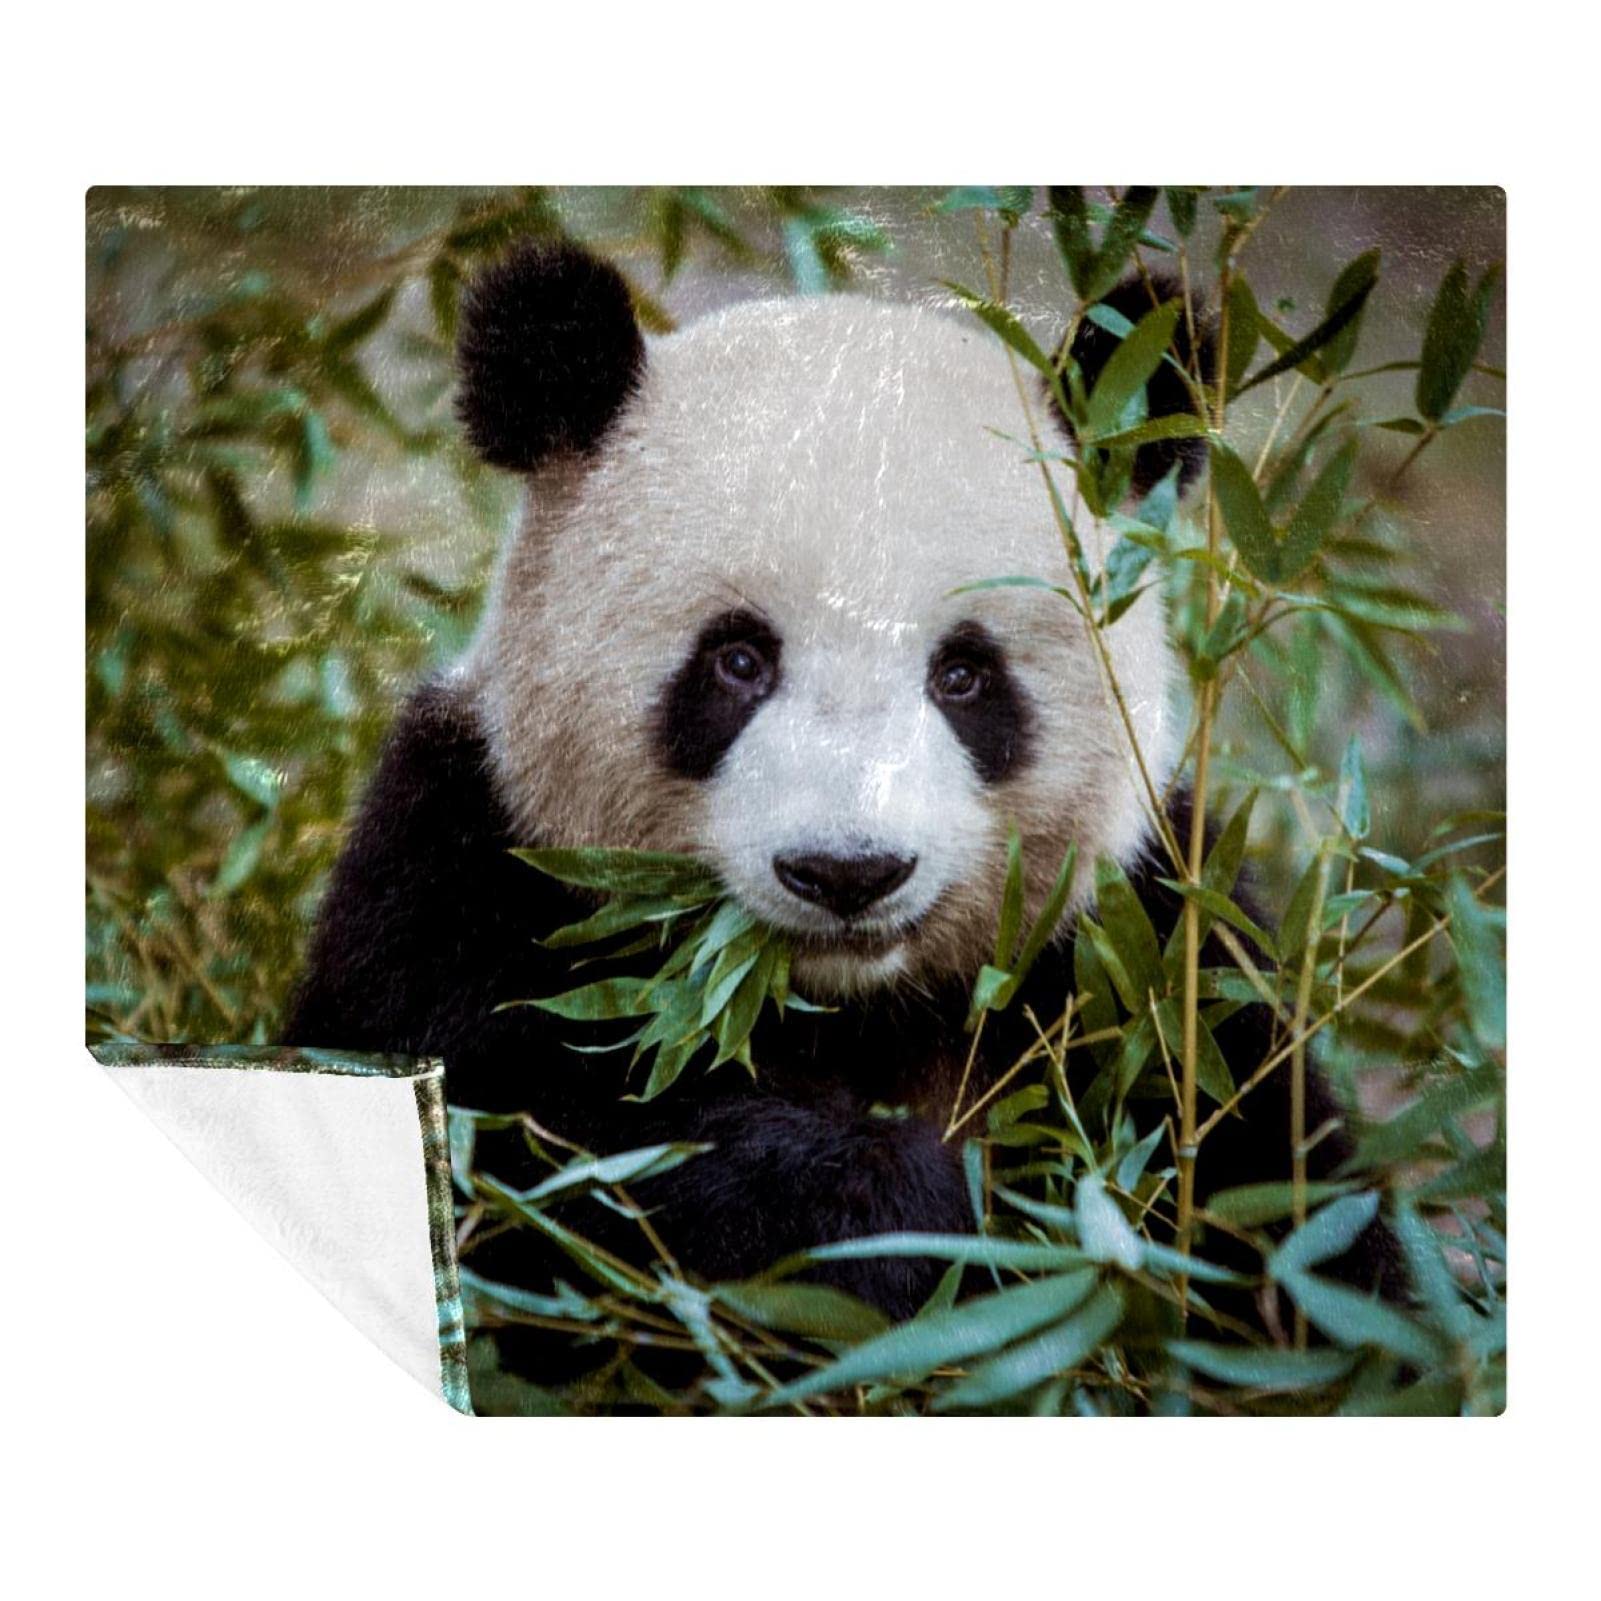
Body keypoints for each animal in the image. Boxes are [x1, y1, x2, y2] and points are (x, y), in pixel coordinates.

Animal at [286, 240, 1399, 1361]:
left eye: (963, 674)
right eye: (737, 659)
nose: (847, 871)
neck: (842, 1008)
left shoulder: (1153, 952)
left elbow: (1291, 1229)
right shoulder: (463, 870)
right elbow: (541, 1161)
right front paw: (891, 1220)